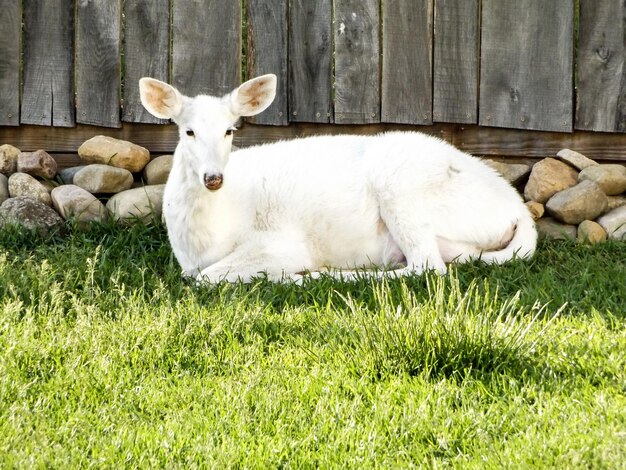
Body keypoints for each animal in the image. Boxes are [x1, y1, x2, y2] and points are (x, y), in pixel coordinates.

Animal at [139, 73, 532, 282]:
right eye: (188, 131)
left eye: (230, 131)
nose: (213, 178)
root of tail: (518, 210)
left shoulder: (281, 243)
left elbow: (207, 278)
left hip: (402, 188)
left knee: (427, 267)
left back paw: (318, 275)